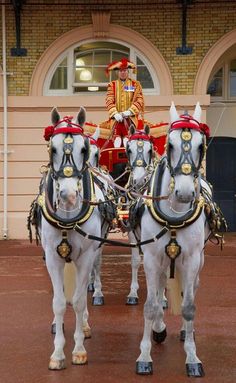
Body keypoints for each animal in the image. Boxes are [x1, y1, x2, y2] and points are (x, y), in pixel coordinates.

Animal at [136, 102, 210, 378]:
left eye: (201, 146)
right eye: (170, 145)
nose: (185, 192)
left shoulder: (191, 259)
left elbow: (189, 306)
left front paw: (192, 358)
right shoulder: (151, 256)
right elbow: (150, 304)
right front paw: (144, 356)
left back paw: (185, 332)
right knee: (158, 291)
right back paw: (159, 328)